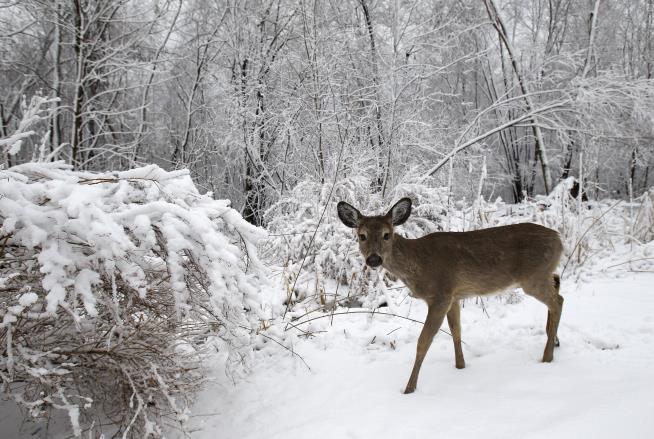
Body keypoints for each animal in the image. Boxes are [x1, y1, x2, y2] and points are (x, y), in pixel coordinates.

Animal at [338, 198, 564, 394]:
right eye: (362, 235)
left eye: (387, 234)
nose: (373, 259)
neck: (419, 264)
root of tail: (559, 240)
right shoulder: (454, 296)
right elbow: (456, 331)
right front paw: (460, 366)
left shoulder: (441, 295)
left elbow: (423, 342)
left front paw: (409, 388)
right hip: (542, 275)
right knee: (557, 285)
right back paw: (554, 341)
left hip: (533, 277)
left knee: (558, 302)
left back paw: (547, 357)